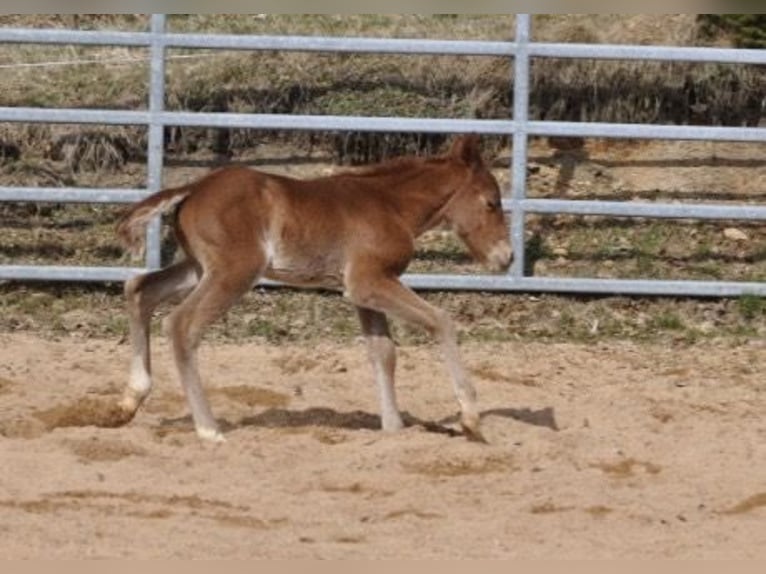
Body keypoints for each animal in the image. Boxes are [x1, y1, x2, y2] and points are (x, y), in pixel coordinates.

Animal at [116, 134, 511, 443]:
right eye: (491, 202)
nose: (506, 258)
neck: (390, 204)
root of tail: (192, 188)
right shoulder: (369, 281)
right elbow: (440, 321)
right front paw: (471, 419)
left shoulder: (364, 290)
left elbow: (383, 352)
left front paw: (394, 429)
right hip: (234, 272)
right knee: (182, 324)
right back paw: (208, 429)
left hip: (200, 269)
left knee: (139, 289)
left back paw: (129, 401)